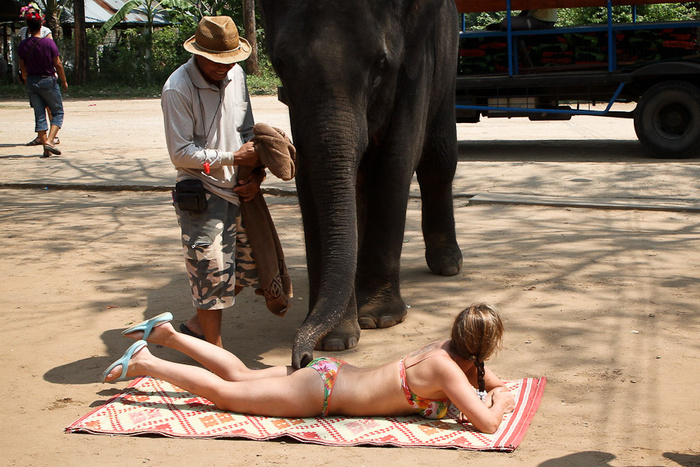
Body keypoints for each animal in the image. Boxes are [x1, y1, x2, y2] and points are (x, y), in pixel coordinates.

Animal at [260, 0, 463, 369]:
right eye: (280, 64)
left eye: (381, 64)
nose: (302, 358)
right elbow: (310, 173)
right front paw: (336, 338)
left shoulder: (415, 63)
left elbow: (396, 161)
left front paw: (379, 319)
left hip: (448, 58)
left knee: (439, 159)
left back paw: (448, 266)